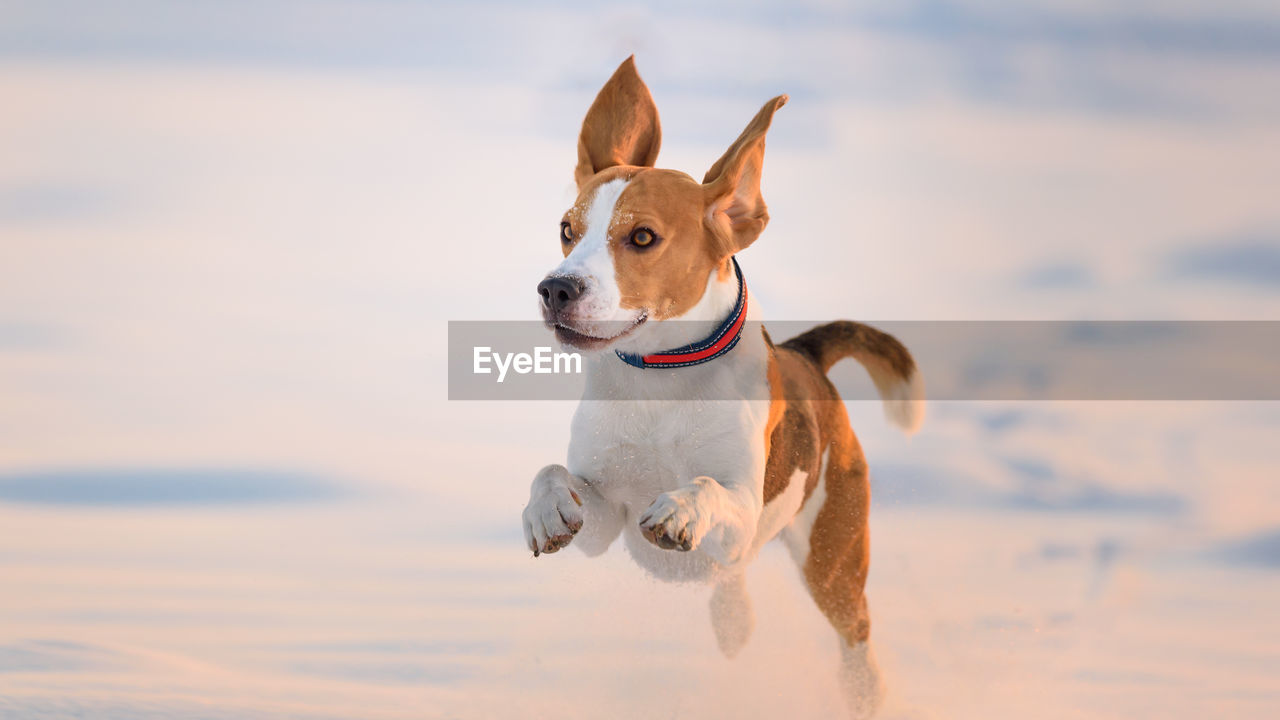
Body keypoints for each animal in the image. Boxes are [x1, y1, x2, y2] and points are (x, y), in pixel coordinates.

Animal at [524, 57, 926, 717]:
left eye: (642, 238)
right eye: (566, 230)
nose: (556, 289)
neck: (661, 381)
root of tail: (806, 354)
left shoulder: (739, 516)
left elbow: (709, 487)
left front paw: (682, 508)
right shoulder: (604, 519)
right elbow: (557, 476)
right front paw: (547, 509)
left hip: (832, 558)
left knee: (855, 631)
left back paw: (864, 691)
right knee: (732, 590)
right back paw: (732, 625)